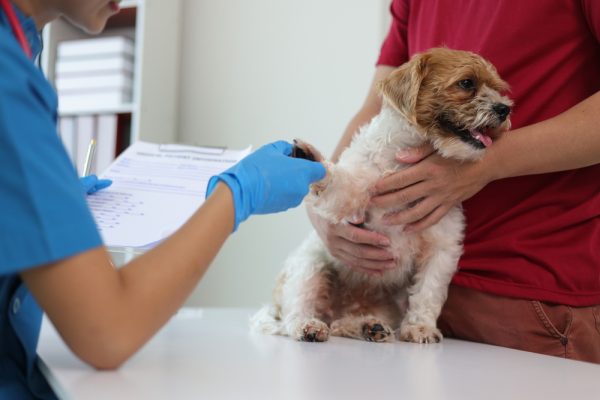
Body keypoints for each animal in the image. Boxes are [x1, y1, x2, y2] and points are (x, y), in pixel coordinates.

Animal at [252, 47, 510, 344]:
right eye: (467, 83)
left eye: (497, 88)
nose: (505, 108)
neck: (402, 161)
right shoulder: (350, 196)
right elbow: (337, 183)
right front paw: (308, 158)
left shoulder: (441, 247)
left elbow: (427, 294)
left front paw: (420, 328)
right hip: (310, 269)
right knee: (295, 315)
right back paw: (309, 326)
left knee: (343, 323)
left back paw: (368, 326)